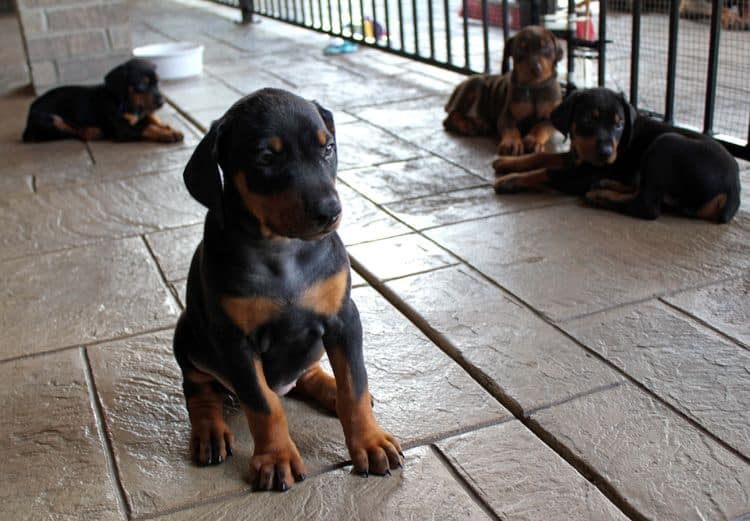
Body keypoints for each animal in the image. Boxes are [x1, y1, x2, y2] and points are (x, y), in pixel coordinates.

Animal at [23, 58, 182, 143]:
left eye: (158, 83)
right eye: (142, 85)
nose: (162, 102)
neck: (125, 102)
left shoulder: (142, 113)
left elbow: (152, 117)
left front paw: (169, 128)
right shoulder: (122, 129)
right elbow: (146, 127)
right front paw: (167, 134)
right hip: (48, 120)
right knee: (69, 131)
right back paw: (92, 132)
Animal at [174, 87, 406, 490]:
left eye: (328, 148)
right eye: (266, 157)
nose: (330, 211)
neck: (283, 250)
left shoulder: (343, 318)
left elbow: (354, 387)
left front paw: (370, 442)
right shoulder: (235, 341)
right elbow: (263, 404)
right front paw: (275, 458)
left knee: (308, 375)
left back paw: (328, 390)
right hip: (187, 333)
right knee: (199, 386)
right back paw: (209, 430)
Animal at [440, 24, 564, 154]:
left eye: (546, 47)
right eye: (521, 48)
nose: (536, 69)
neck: (534, 87)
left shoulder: (552, 118)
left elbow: (541, 126)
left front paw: (533, 140)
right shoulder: (506, 115)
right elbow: (510, 128)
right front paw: (511, 143)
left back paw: (482, 124)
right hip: (475, 84)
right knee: (451, 116)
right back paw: (466, 126)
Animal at [490, 87, 744, 221]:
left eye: (619, 124)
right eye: (587, 119)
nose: (605, 153)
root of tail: (733, 189)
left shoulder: (584, 175)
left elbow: (547, 171)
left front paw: (511, 180)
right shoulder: (578, 157)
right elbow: (542, 157)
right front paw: (507, 162)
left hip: (665, 143)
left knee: (647, 206)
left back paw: (601, 196)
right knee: (648, 192)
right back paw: (608, 186)